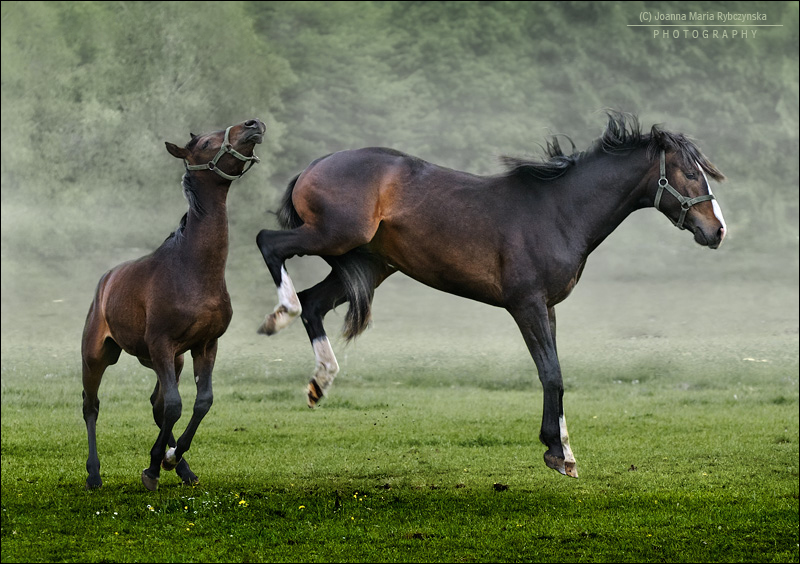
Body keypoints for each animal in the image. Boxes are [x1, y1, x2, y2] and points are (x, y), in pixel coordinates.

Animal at [83, 118, 268, 490]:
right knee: (91, 406)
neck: (192, 270)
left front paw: (168, 458)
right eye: (208, 142)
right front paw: (153, 467)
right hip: (97, 355)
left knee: (155, 404)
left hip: (169, 360)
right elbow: (174, 406)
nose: (253, 124)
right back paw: (94, 474)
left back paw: (183, 468)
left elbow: (200, 402)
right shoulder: (162, 344)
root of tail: (106, 280)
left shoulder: (204, 345)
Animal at [256, 112, 724, 478]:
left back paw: (321, 381)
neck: (558, 212)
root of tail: (316, 165)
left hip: (367, 265)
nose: (717, 230)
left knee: (314, 304)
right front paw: (555, 453)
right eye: (688, 172)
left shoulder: (547, 308)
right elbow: (550, 373)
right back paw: (280, 314)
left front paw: (566, 451)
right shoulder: (526, 305)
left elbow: (556, 374)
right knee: (271, 246)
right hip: (334, 235)